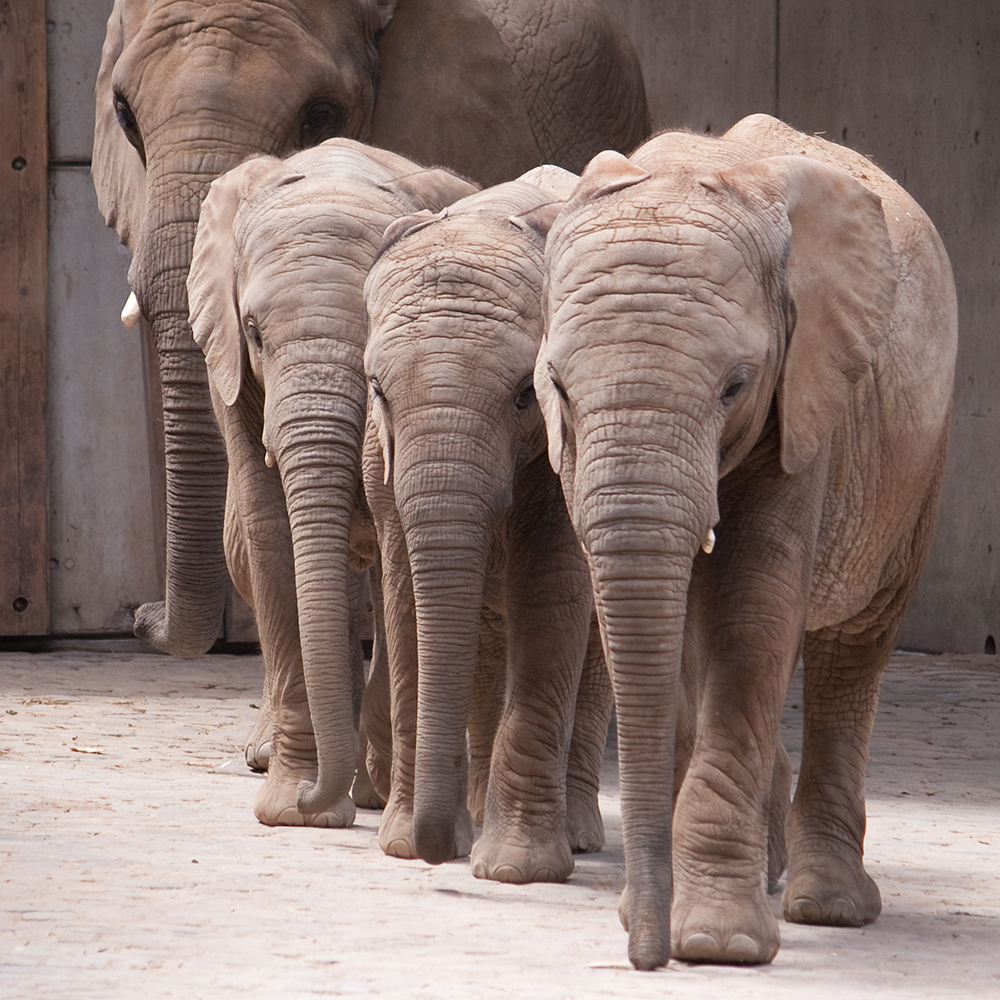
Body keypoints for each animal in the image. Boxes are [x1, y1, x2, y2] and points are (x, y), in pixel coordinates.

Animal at [190, 139, 480, 828]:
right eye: (253, 332)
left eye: (373, 331)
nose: (310, 799)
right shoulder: (231, 373)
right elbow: (270, 532)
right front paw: (294, 810)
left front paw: (353, 792)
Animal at [360, 166, 612, 884]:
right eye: (377, 390)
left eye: (525, 394)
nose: (434, 852)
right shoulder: (381, 460)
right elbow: (406, 599)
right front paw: (401, 845)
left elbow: (551, 592)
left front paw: (513, 870)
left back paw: (577, 836)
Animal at [536, 115, 956, 968]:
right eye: (558, 386)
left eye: (735, 386)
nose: (644, 957)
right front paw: (667, 920)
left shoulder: (805, 397)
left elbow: (752, 611)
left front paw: (715, 944)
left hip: (916, 465)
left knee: (853, 648)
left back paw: (827, 905)